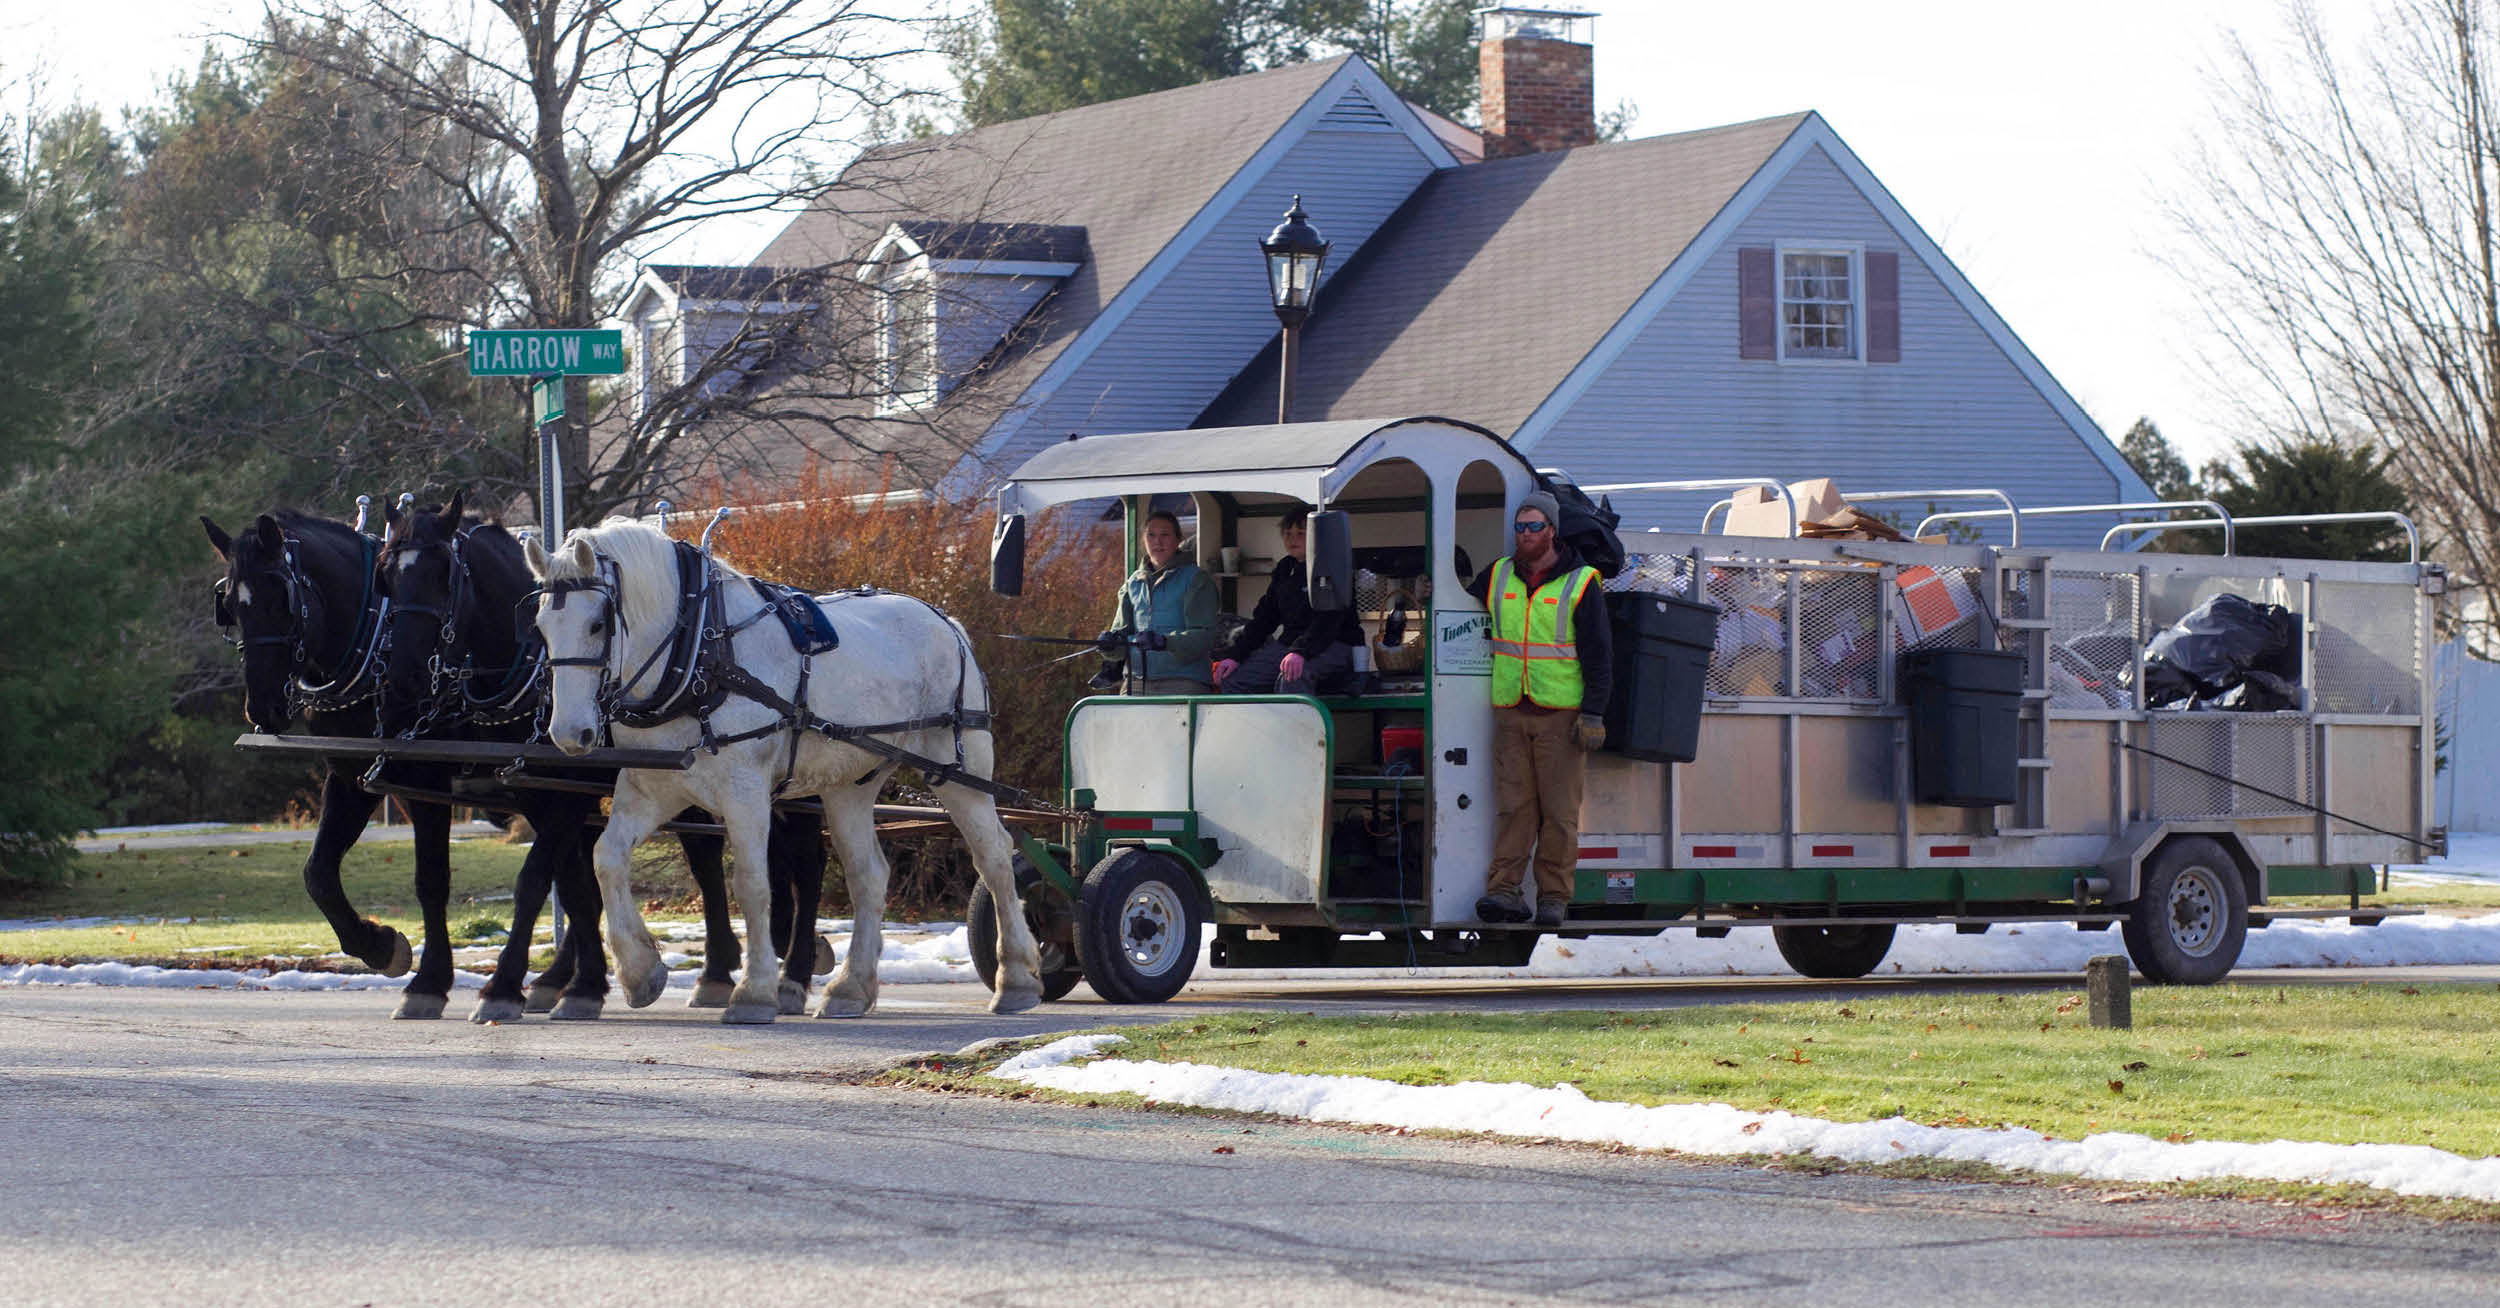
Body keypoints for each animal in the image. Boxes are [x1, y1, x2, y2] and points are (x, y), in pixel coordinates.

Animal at [377, 500, 830, 1025]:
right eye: (387, 577)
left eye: (441, 573)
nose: (403, 676)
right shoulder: (533, 795)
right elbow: (570, 887)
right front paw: (575, 982)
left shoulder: (564, 798)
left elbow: (536, 882)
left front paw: (508, 987)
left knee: (806, 860)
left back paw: (790, 972)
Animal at [522, 520, 1040, 1025]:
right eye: (541, 628)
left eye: (596, 624)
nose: (569, 733)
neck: (699, 655)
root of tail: (946, 621)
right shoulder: (650, 788)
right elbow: (607, 858)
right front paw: (639, 972)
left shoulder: (745, 791)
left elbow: (753, 885)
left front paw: (754, 993)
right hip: (849, 784)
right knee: (868, 874)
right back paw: (851, 988)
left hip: (958, 768)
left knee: (995, 856)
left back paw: (1016, 978)